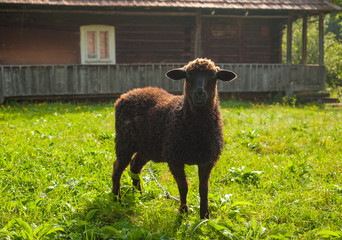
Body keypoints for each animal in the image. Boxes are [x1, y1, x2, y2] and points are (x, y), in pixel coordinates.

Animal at [111, 57, 236, 218]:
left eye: (213, 75)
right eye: (188, 75)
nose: (199, 94)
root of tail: (126, 95)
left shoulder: (207, 160)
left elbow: (204, 189)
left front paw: (205, 216)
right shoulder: (175, 159)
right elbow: (183, 187)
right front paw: (183, 212)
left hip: (147, 147)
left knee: (135, 166)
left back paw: (139, 195)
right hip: (124, 142)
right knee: (117, 168)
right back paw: (117, 198)